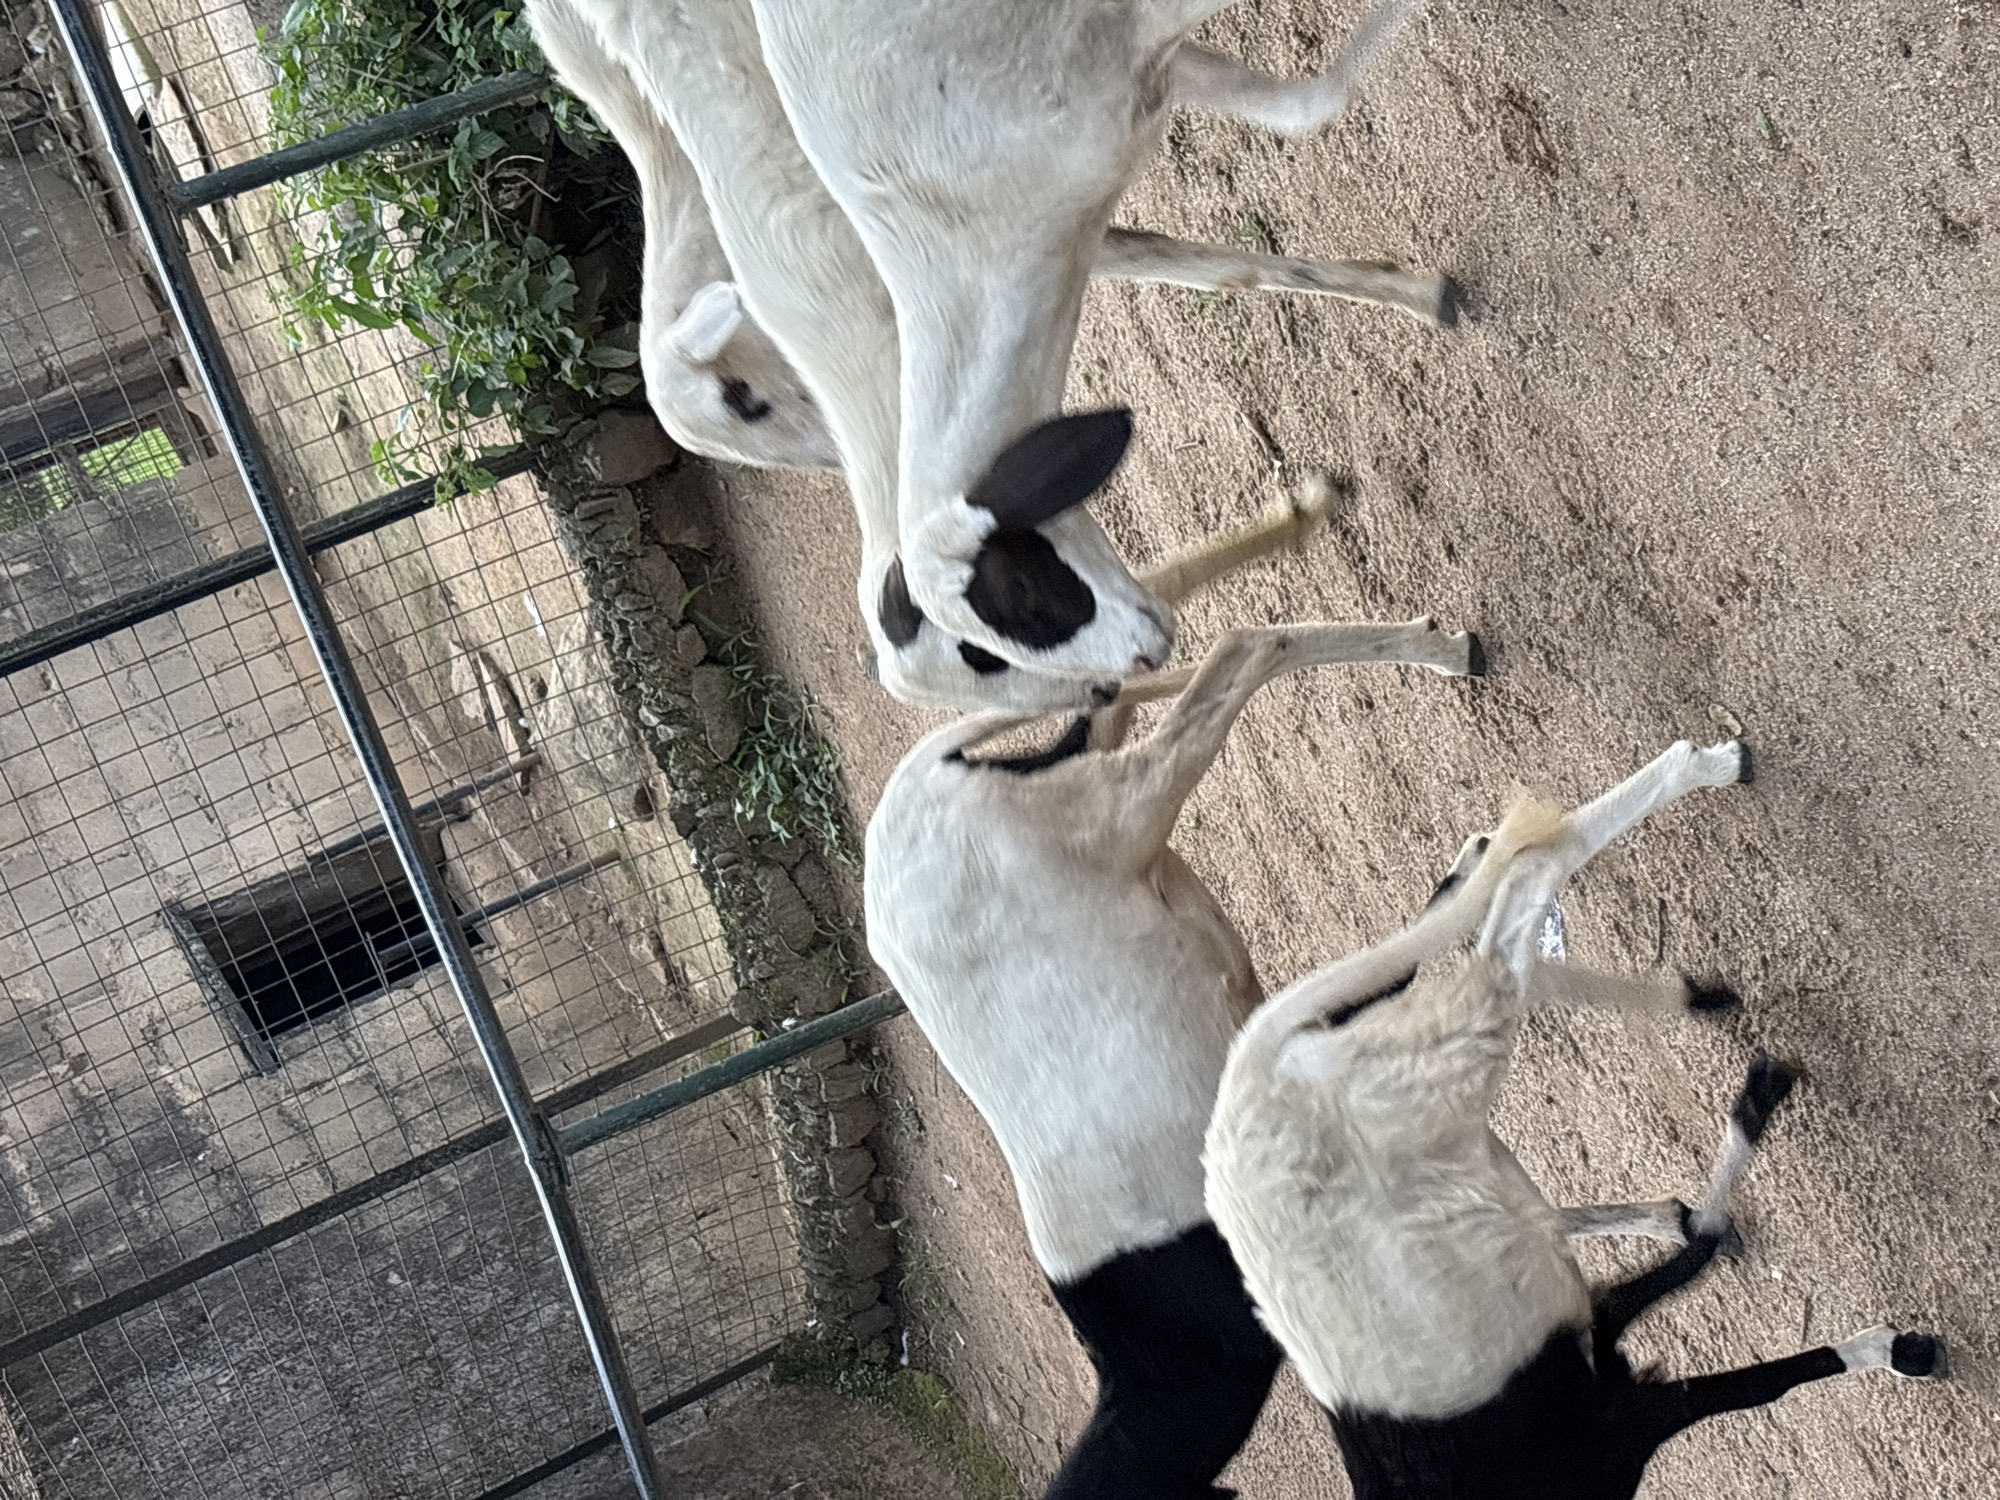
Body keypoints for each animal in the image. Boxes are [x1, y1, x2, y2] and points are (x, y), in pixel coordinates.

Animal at [528, 0, 1440, 713]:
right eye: (991, 654)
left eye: (1015, 603)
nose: (1131, 672)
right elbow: (1253, 195)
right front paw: (1426, 297)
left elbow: (1301, 115)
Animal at [1203, 739, 1948, 1498]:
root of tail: (1248, 1079)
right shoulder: (1606, 1396)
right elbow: (1719, 1325)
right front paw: (1899, 1347)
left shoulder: (1603, 1408)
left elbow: (1731, 1345)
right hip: (1440, 1078)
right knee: (1510, 923)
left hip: (1444, 1056)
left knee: (1518, 900)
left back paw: (1701, 773)